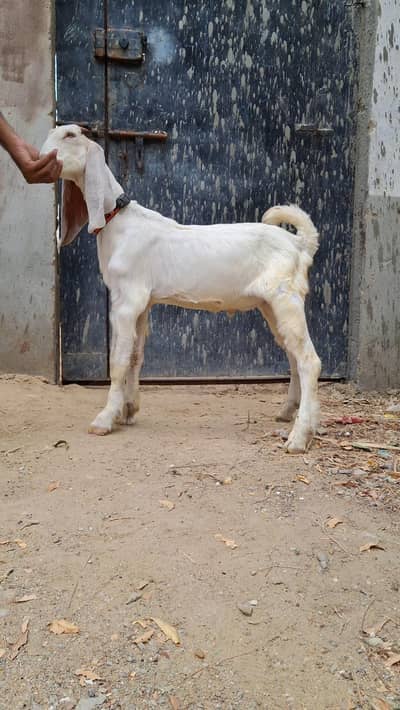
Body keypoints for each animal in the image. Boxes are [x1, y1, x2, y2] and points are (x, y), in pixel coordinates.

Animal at [41, 124, 321, 453]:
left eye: (70, 135)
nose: (41, 157)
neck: (118, 222)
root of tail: (300, 244)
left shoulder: (126, 300)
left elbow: (119, 361)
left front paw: (105, 418)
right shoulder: (144, 303)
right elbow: (135, 355)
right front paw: (129, 409)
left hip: (285, 297)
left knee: (309, 360)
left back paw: (299, 437)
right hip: (271, 305)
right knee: (293, 354)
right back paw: (291, 413)